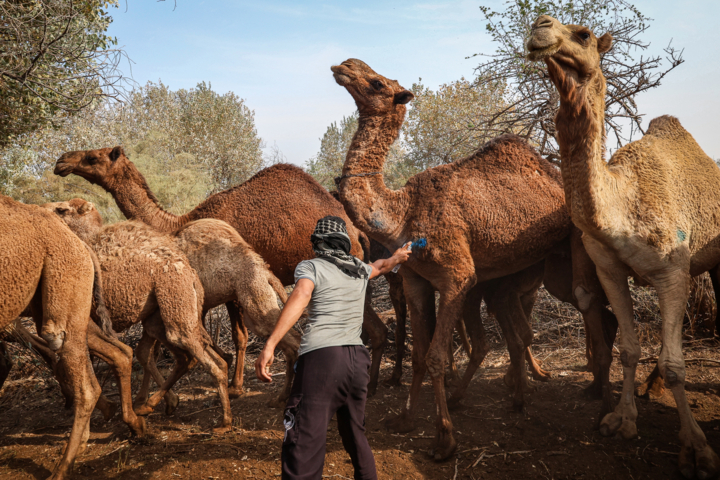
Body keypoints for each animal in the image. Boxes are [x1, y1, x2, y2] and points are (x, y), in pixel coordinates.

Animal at [43, 198, 233, 432]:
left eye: (61, 209)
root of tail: (191, 275)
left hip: (175, 308)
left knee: (199, 356)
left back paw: (224, 422)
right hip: (165, 315)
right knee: (193, 355)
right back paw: (153, 405)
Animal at [54, 152, 394, 396]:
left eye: (92, 158)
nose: (61, 162)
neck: (178, 223)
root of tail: (356, 232)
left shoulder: (229, 285)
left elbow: (237, 336)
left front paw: (236, 385)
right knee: (373, 329)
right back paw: (373, 383)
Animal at [330, 58, 620, 460]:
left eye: (376, 83)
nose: (344, 65)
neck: (402, 212)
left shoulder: (457, 276)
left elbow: (438, 356)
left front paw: (444, 438)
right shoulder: (416, 279)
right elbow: (420, 354)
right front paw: (404, 419)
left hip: (578, 241)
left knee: (587, 298)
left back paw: (604, 411)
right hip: (549, 266)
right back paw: (547, 395)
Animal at [524, 15, 720, 476]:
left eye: (584, 35)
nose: (540, 24)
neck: (623, 202)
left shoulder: (671, 271)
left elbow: (675, 363)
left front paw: (697, 448)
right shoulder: (610, 271)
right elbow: (630, 349)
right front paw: (622, 421)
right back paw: (649, 389)